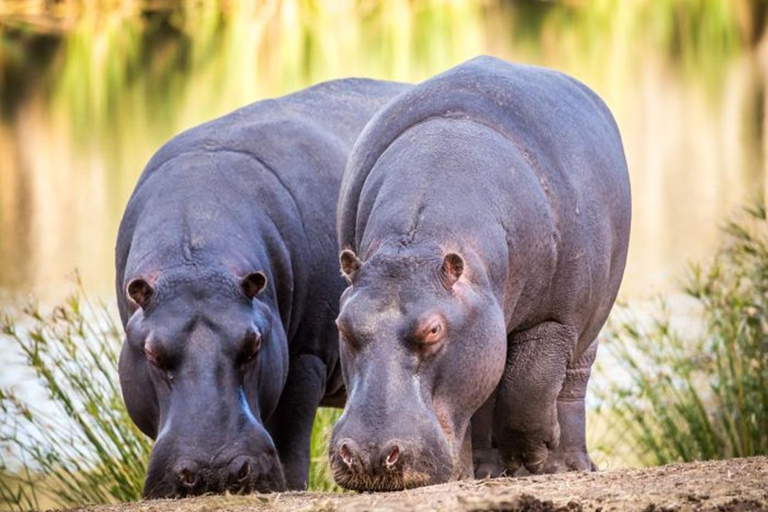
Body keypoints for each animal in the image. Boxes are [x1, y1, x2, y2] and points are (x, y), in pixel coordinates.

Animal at [114, 78, 408, 498]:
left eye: (253, 343)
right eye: (152, 353)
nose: (215, 471)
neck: (196, 256)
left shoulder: (306, 356)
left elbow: (290, 444)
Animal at [330, 54, 632, 490]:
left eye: (433, 330)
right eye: (342, 325)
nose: (369, 455)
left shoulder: (555, 319)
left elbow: (530, 385)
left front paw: (535, 453)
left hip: (588, 319)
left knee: (571, 382)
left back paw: (567, 464)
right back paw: (487, 470)